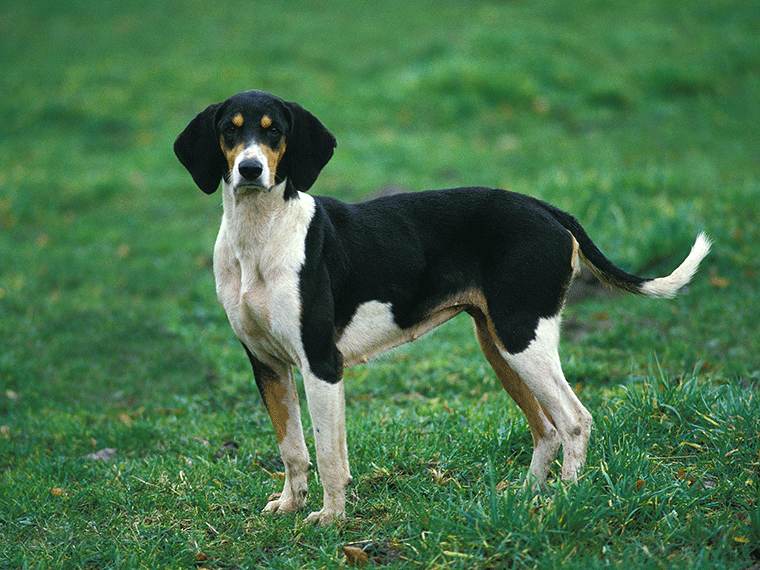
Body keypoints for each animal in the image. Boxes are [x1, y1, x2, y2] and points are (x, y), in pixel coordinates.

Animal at [174, 90, 712, 524]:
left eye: (275, 132)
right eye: (229, 130)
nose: (250, 169)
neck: (261, 240)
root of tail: (546, 209)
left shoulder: (321, 364)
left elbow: (328, 454)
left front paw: (330, 518)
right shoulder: (267, 365)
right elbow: (291, 448)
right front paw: (289, 506)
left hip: (523, 339)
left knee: (574, 422)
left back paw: (563, 501)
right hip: (499, 347)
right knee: (546, 429)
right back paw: (524, 497)